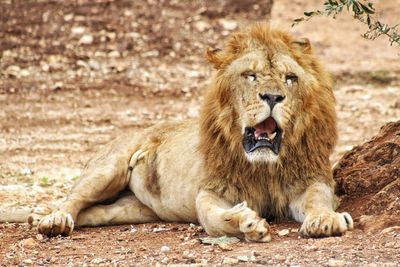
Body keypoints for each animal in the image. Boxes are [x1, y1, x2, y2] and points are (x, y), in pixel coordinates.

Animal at [0, 22, 354, 241]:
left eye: (290, 79)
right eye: (250, 76)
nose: (272, 97)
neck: (264, 167)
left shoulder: (310, 180)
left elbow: (319, 201)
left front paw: (325, 220)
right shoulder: (212, 190)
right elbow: (212, 217)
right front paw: (246, 222)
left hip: (133, 209)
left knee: (94, 212)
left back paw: (40, 217)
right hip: (107, 169)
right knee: (73, 199)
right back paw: (52, 219)